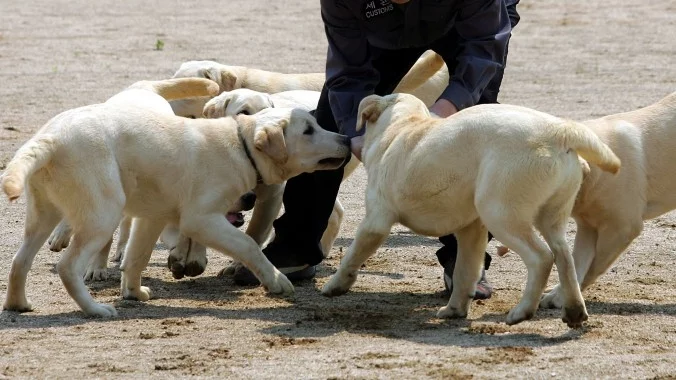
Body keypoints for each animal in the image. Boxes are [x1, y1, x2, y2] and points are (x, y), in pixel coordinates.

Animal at [0, 78, 348, 318]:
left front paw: (133, 292)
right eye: (308, 130)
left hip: (43, 216)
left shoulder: (153, 217)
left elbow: (136, 257)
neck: (240, 145)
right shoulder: (201, 219)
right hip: (102, 214)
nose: (345, 137)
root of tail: (51, 137)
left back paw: (18, 304)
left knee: (19, 261)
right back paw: (94, 309)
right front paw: (275, 281)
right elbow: (248, 244)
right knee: (67, 267)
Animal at [322, 93, 624, 328]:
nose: (350, 142)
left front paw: (335, 286)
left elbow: (351, 256)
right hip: (551, 218)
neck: (403, 127)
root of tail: (559, 131)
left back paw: (522, 312)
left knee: (541, 258)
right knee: (565, 257)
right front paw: (455, 310)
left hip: (500, 214)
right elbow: (465, 271)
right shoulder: (471, 231)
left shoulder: (375, 220)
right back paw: (574, 311)